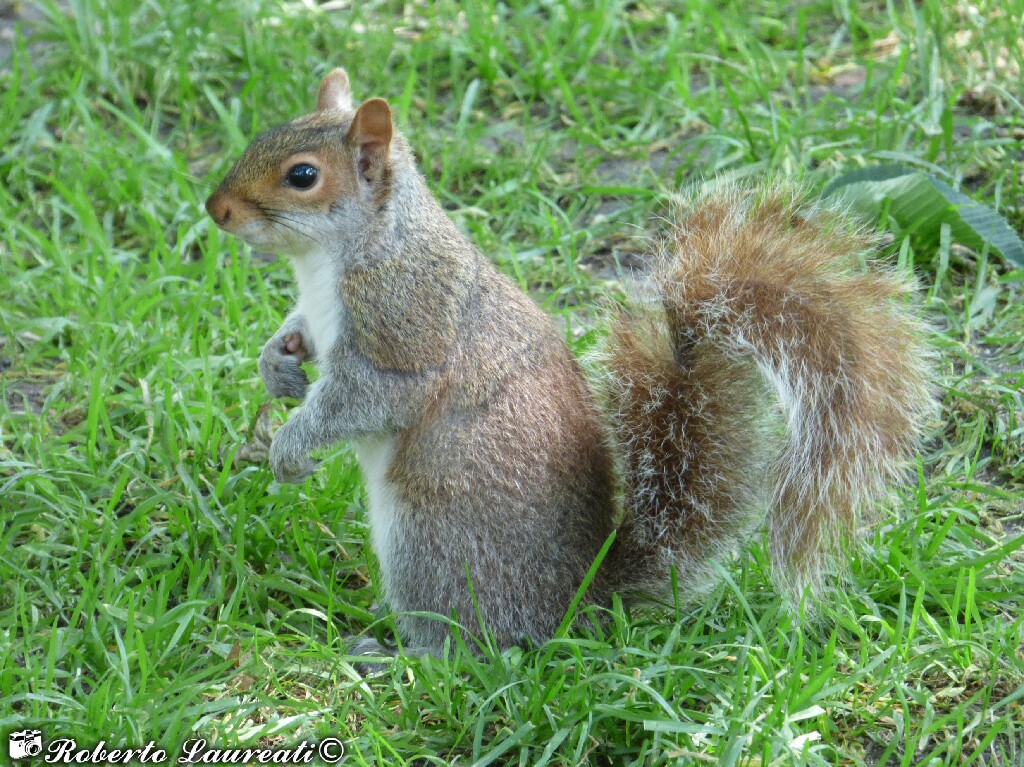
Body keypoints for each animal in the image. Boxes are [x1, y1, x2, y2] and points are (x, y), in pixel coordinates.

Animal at [205, 68, 933, 661]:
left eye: (302, 175)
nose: (216, 210)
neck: (335, 256)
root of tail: (576, 606)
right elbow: (298, 336)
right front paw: (277, 365)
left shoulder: (405, 322)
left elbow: (370, 396)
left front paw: (291, 445)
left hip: (433, 541)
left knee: (475, 644)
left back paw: (398, 655)